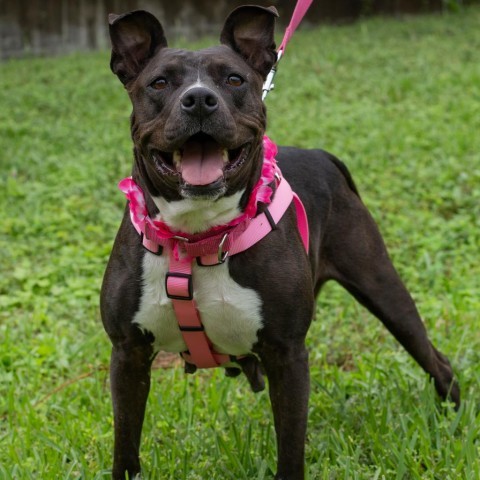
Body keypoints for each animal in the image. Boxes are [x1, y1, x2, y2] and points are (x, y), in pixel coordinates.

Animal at [101, 4, 462, 480]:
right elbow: (125, 447)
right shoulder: (128, 355)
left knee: (434, 358)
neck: (195, 238)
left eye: (234, 80)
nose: (199, 99)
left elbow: (290, 446)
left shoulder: (287, 356)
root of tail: (320, 155)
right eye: (160, 83)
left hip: (383, 288)